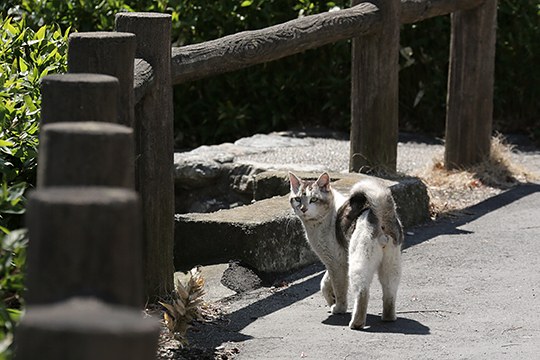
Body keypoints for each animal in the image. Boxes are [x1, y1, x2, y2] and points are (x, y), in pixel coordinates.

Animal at [288, 172, 402, 330]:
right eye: (298, 199)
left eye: (314, 199)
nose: (303, 209)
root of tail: (381, 214)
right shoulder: (336, 262)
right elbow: (325, 283)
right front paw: (331, 300)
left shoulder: (336, 263)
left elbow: (339, 288)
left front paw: (339, 308)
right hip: (391, 266)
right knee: (389, 293)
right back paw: (388, 318)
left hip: (358, 264)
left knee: (362, 293)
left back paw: (356, 323)